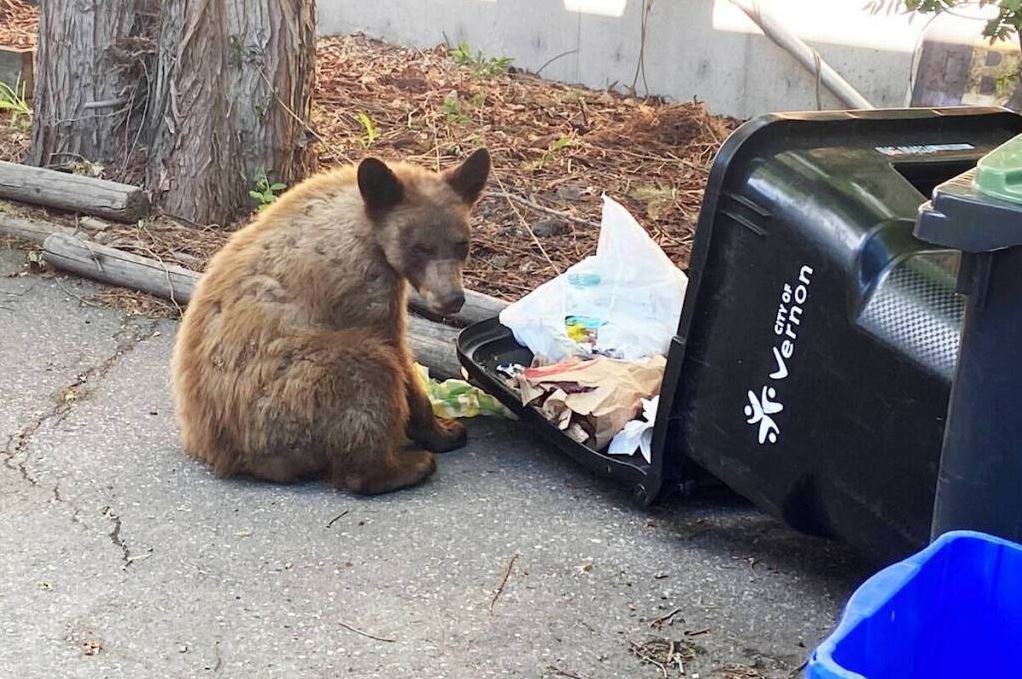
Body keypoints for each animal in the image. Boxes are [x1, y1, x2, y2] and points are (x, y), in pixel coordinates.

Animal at [170, 148, 491, 494]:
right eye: (420, 247)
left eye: (462, 244)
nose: (451, 299)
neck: (366, 223)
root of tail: (220, 451)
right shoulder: (362, 284)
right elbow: (398, 353)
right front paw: (445, 431)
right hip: (287, 396)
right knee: (367, 370)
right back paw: (409, 466)